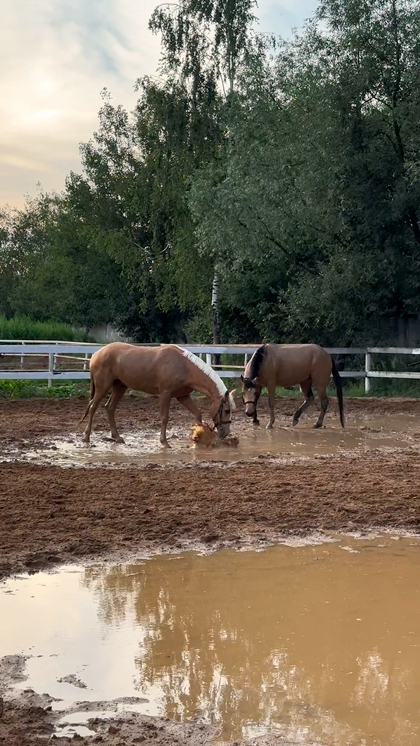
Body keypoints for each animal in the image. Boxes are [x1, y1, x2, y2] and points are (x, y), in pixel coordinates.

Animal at [80, 343, 236, 447]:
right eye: (227, 410)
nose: (226, 432)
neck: (184, 366)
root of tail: (96, 354)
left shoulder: (183, 396)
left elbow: (197, 414)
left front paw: (198, 436)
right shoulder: (166, 394)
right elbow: (164, 418)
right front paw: (164, 442)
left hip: (120, 387)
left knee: (109, 408)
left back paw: (117, 437)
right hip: (103, 387)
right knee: (93, 407)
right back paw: (86, 437)